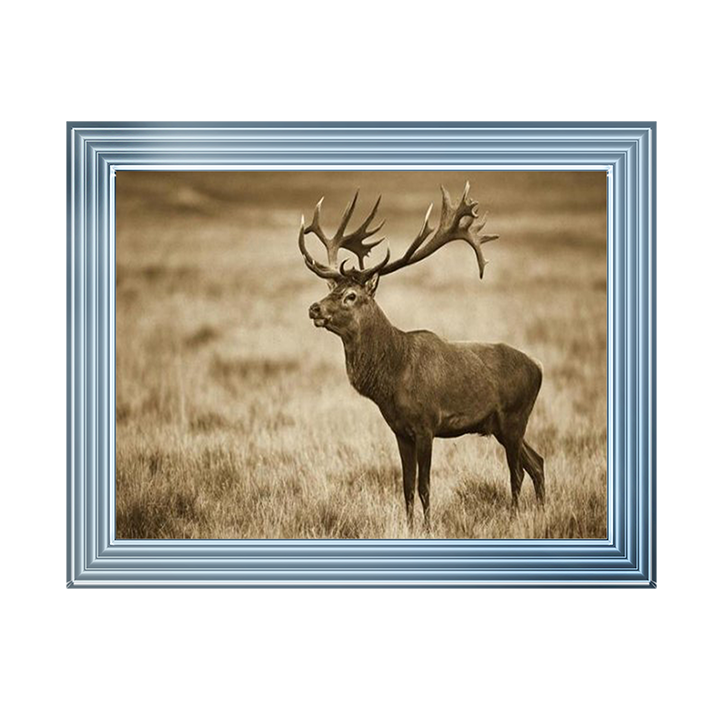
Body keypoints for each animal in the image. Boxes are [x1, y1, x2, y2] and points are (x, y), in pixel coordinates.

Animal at [298, 182, 545, 531]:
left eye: (351, 296)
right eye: (330, 289)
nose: (314, 308)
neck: (392, 377)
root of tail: (539, 369)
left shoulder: (427, 424)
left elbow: (425, 486)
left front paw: (427, 528)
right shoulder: (400, 431)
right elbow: (406, 486)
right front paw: (409, 525)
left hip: (514, 416)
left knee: (517, 472)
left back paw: (514, 518)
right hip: (501, 425)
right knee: (537, 462)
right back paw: (542, 512)